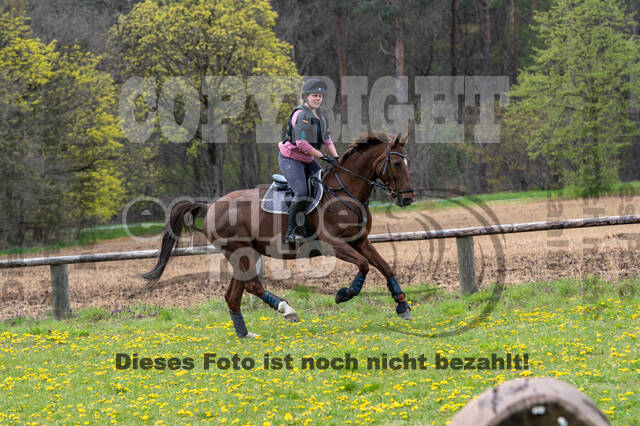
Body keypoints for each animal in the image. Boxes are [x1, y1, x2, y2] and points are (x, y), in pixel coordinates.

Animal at [142, 131, 418, 338]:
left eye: (408, 162)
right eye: (396, 163)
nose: (408, 198)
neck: (344, 192)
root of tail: (210, 207)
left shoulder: (359, 241)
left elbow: (385, 267)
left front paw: (402, 304)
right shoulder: (334, 245)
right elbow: (363, 265)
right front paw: (344, 294)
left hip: (244, 254)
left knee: (233, 295)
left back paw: (245, 335)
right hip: (240, 251)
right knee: (252, 285)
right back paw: (287, 309)